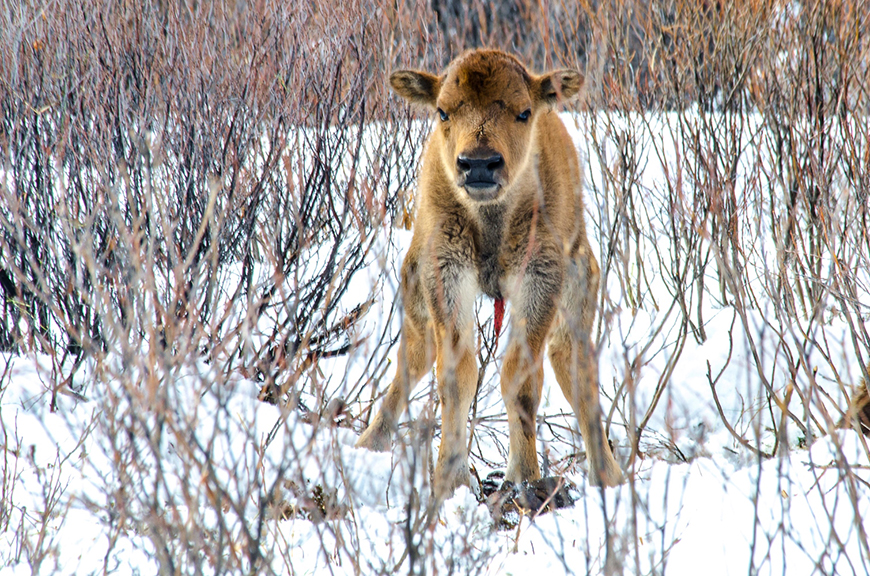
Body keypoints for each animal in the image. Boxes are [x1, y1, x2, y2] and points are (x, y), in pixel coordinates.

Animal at [356, 49, 623, 499]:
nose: (479, 165)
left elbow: (520, 379)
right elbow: (457, 375)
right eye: (443, 111)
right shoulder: (444, 273)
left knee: (577, 374)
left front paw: (525, 477)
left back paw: (609, 475)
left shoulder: (540, 278)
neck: (491, 221)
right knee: (411, 362)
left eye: (523, 112)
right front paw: (449, 480)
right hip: (416, 302)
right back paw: (368, 444)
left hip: (577, 297)